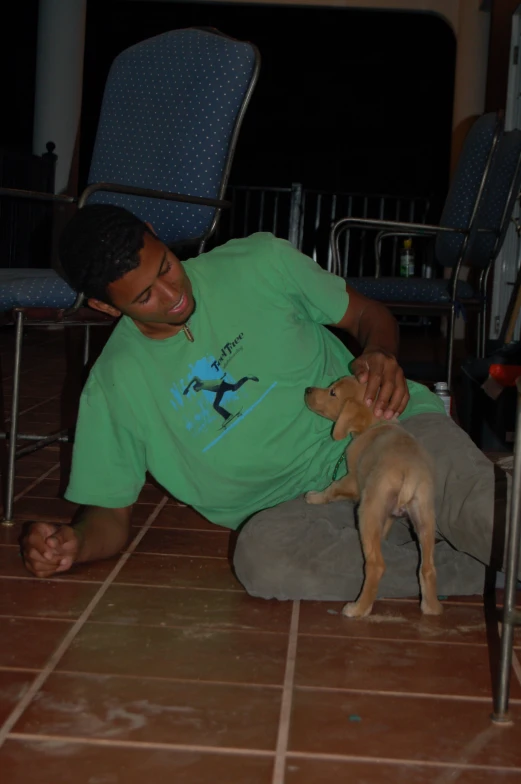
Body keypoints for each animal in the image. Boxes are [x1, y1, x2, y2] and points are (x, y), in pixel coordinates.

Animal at [304, 378, 442, 620]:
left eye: (332, 392)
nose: (307, 390)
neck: (376, 424)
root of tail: (410, 474)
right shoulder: (387, 514)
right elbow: (385, 528)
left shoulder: (352, 480)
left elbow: (331, 490)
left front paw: (314, 497)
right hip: (424, 518)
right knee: (427, 568)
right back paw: (431, 608)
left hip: (367, 511)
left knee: (376, 565)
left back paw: (358, 609)